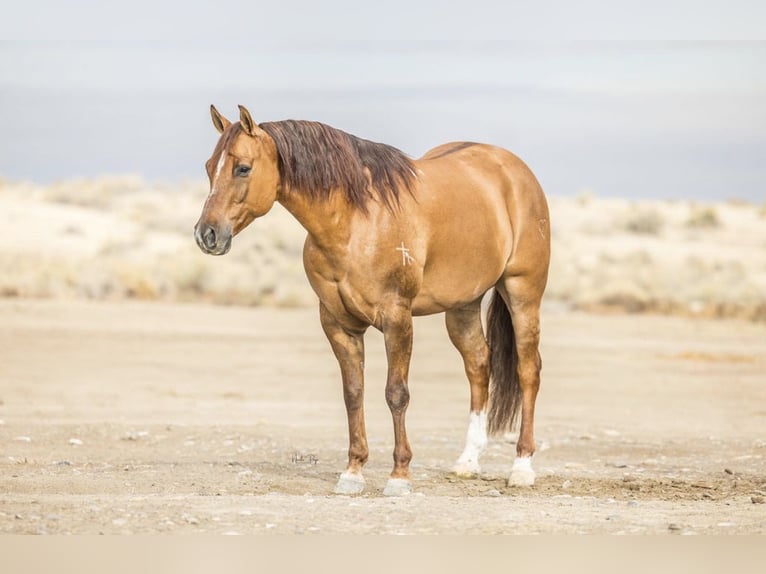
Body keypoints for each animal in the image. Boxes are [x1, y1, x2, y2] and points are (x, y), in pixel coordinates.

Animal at [194, 105, 550, 496]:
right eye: (209, 167)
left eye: (243, 167)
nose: (206, 235)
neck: (355, 223)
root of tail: (513, 170)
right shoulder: (339, 324)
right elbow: (353, 393)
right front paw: (353, 471)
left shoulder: (397, 319)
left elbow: (396, 393)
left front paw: (399, 476)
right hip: (463, 306)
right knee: (478, 365)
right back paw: (467, 463)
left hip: (522, 293)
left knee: (528, 370)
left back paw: (522, 467)